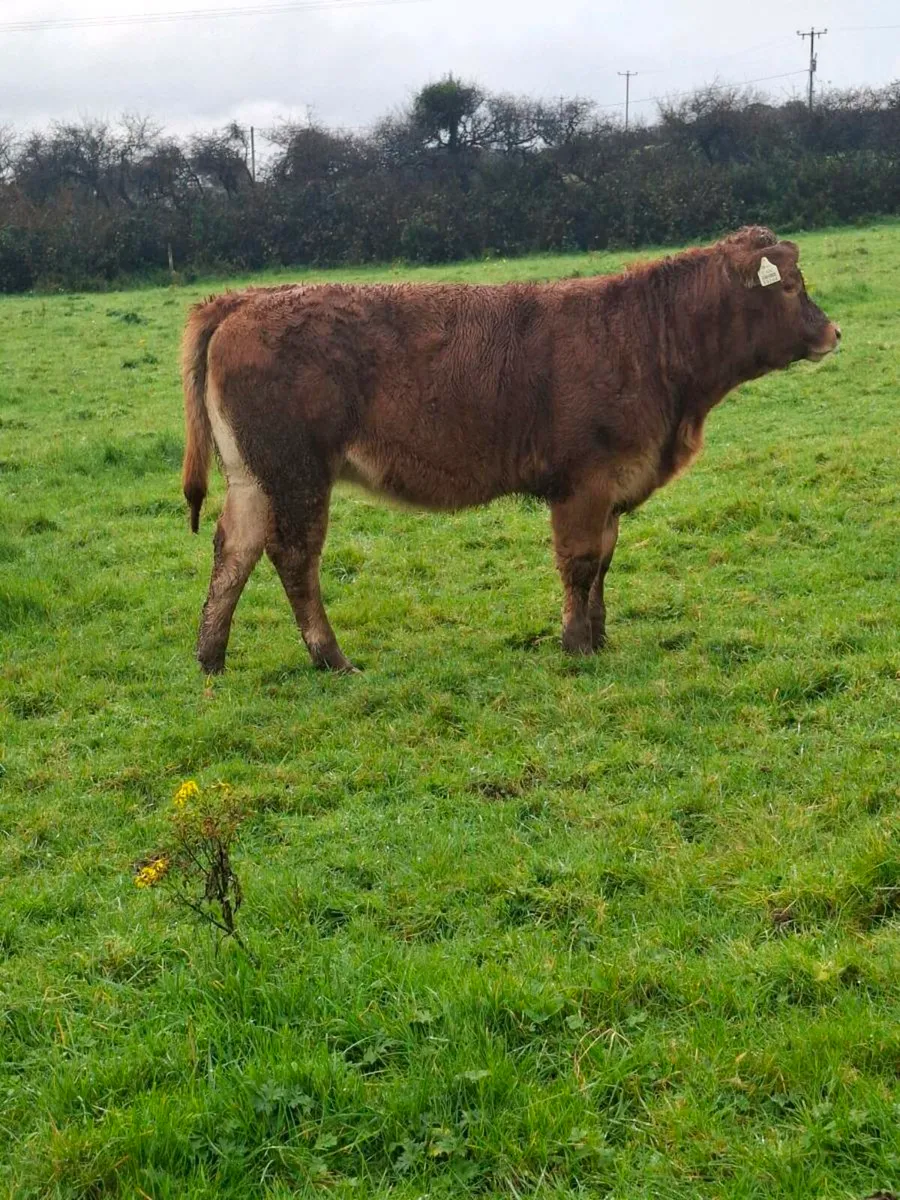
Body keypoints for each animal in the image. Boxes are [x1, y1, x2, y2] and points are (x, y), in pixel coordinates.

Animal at [181, 226, 840, 674]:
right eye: (792, 287)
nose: (833, 332)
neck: (647, 338)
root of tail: (243, 299)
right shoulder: (584, 483)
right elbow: (579, 563)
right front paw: (576, 646)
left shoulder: (613, 487)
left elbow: (604, 562)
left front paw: (599, 636)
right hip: (297, 473)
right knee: (294, 557)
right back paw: (331, 657)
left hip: (253, 475)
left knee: (234, 549)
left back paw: (211, 657)